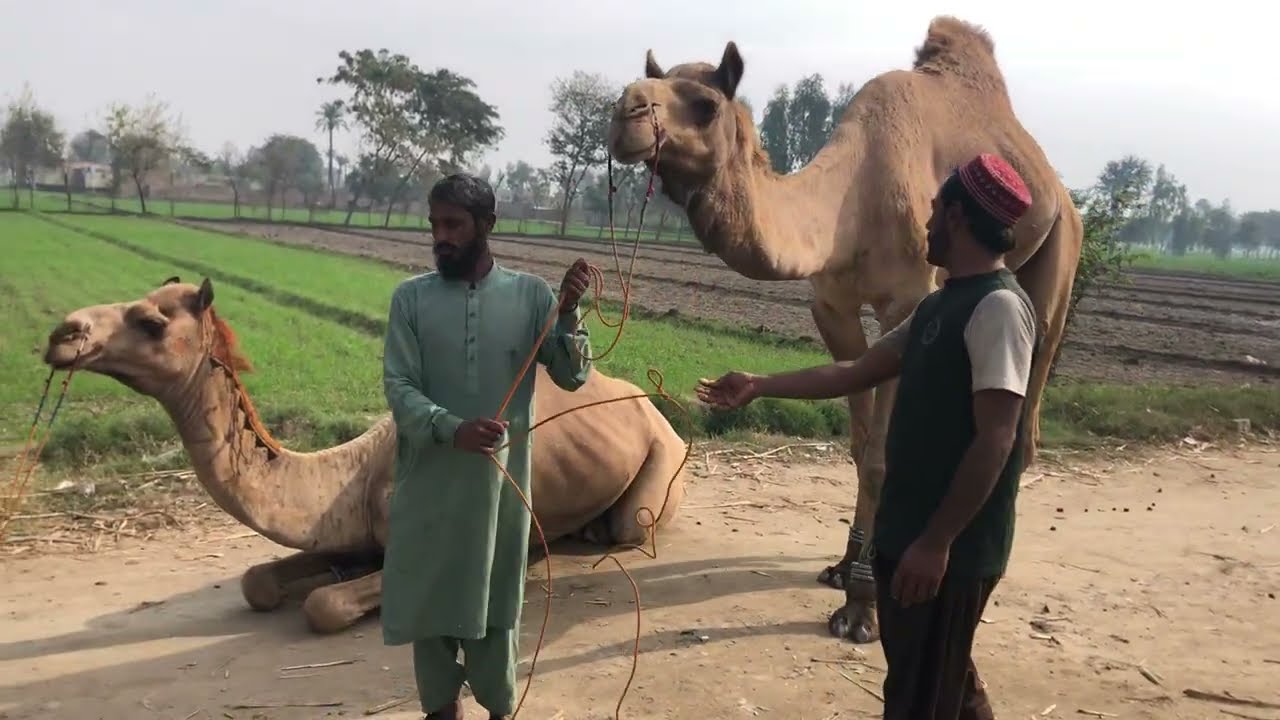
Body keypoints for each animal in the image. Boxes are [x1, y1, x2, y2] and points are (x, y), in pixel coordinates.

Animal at [41, 276, 690, 633]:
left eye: (151, 320)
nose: (63, 332)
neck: (354, 474)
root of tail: (650, 400)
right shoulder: (351, 531)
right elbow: (259, 580)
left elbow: (324, 605)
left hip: (666, 455)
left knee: (629, 525)